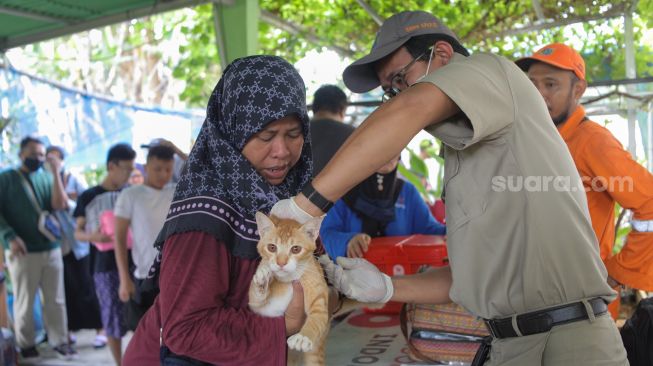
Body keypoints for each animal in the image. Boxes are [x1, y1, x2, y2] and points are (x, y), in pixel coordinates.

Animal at [250, 213, 332, 364]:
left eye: (296, 249)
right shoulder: (259, 308)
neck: (289, 279)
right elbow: (254, 299)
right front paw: (263, 279)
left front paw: (303, 337)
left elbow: (317, 316)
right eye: (272, 247)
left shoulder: (318, 293)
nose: (281, 263)